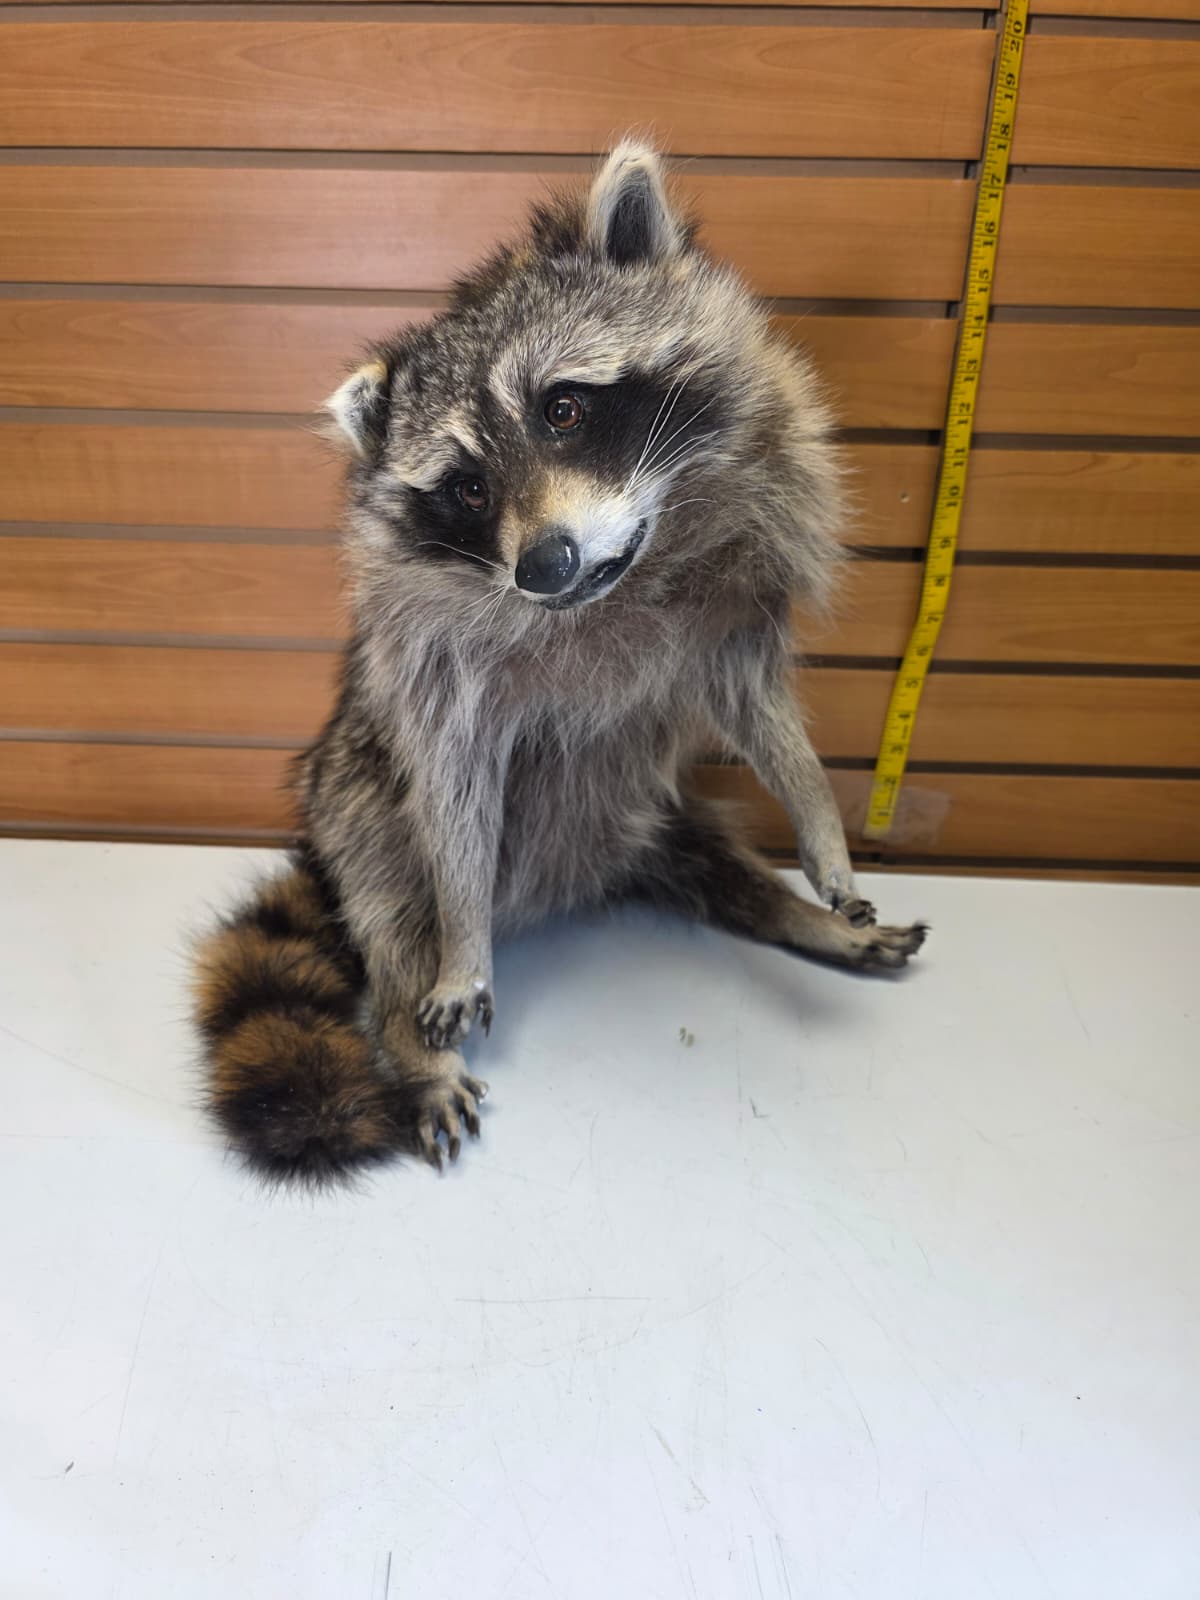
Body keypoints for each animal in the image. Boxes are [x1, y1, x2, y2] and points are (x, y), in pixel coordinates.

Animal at [192, 141, 926, 1185]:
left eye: (565, 407)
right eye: (467, 489)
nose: (543, 566)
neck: (623, 578)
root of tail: (565, 886)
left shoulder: (734, 600)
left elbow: (757, 706)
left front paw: (819, 816)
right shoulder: (432, 661)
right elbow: (455, 789)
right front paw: (461, 947)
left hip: (650, 807)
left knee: (719, 858)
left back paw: (793, 914)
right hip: (355, 807)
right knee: (393, 910)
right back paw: (414, 1035)